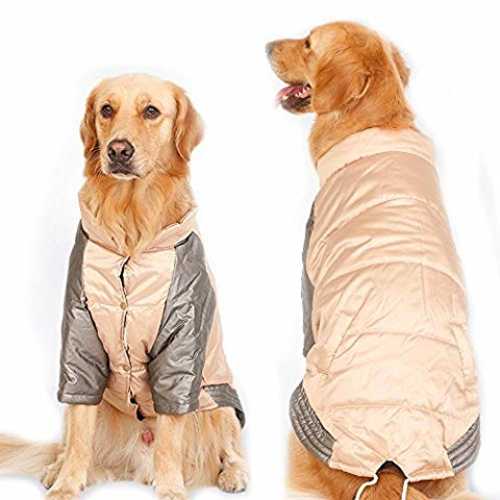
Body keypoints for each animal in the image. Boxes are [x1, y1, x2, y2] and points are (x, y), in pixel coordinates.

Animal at [0, 74, 248, 500]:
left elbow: (170, 434)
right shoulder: (80, 344)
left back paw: (231, 475)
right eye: (106, 110)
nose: (118, 150)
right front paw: (66, 485)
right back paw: (59, 468)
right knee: (75, 441)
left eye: (151, 111)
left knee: (228, 446)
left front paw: (171, 488)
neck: (131, 238)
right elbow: (79, 435)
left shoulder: (179, 350)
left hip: (220, 400)